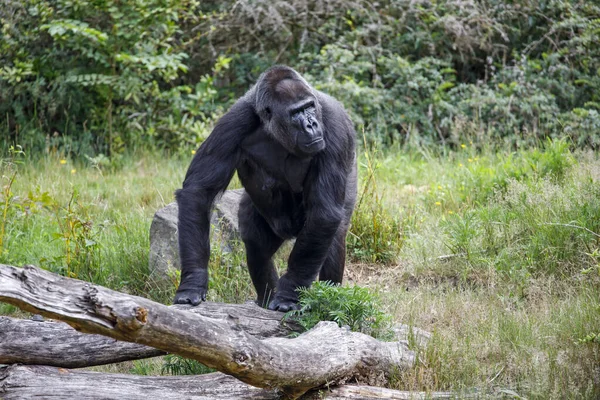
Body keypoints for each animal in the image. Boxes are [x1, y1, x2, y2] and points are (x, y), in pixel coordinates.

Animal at [176, 65, 358, 312]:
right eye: (296, 113)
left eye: (309, 107)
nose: (311, 124)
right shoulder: (234, 121)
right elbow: (199, 192)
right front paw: (193, 280)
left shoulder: (333, 123)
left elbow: (325, 212)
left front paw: (290, 292)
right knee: (256, 244)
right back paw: (265, 298)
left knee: (333, 237)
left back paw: (329, 304)